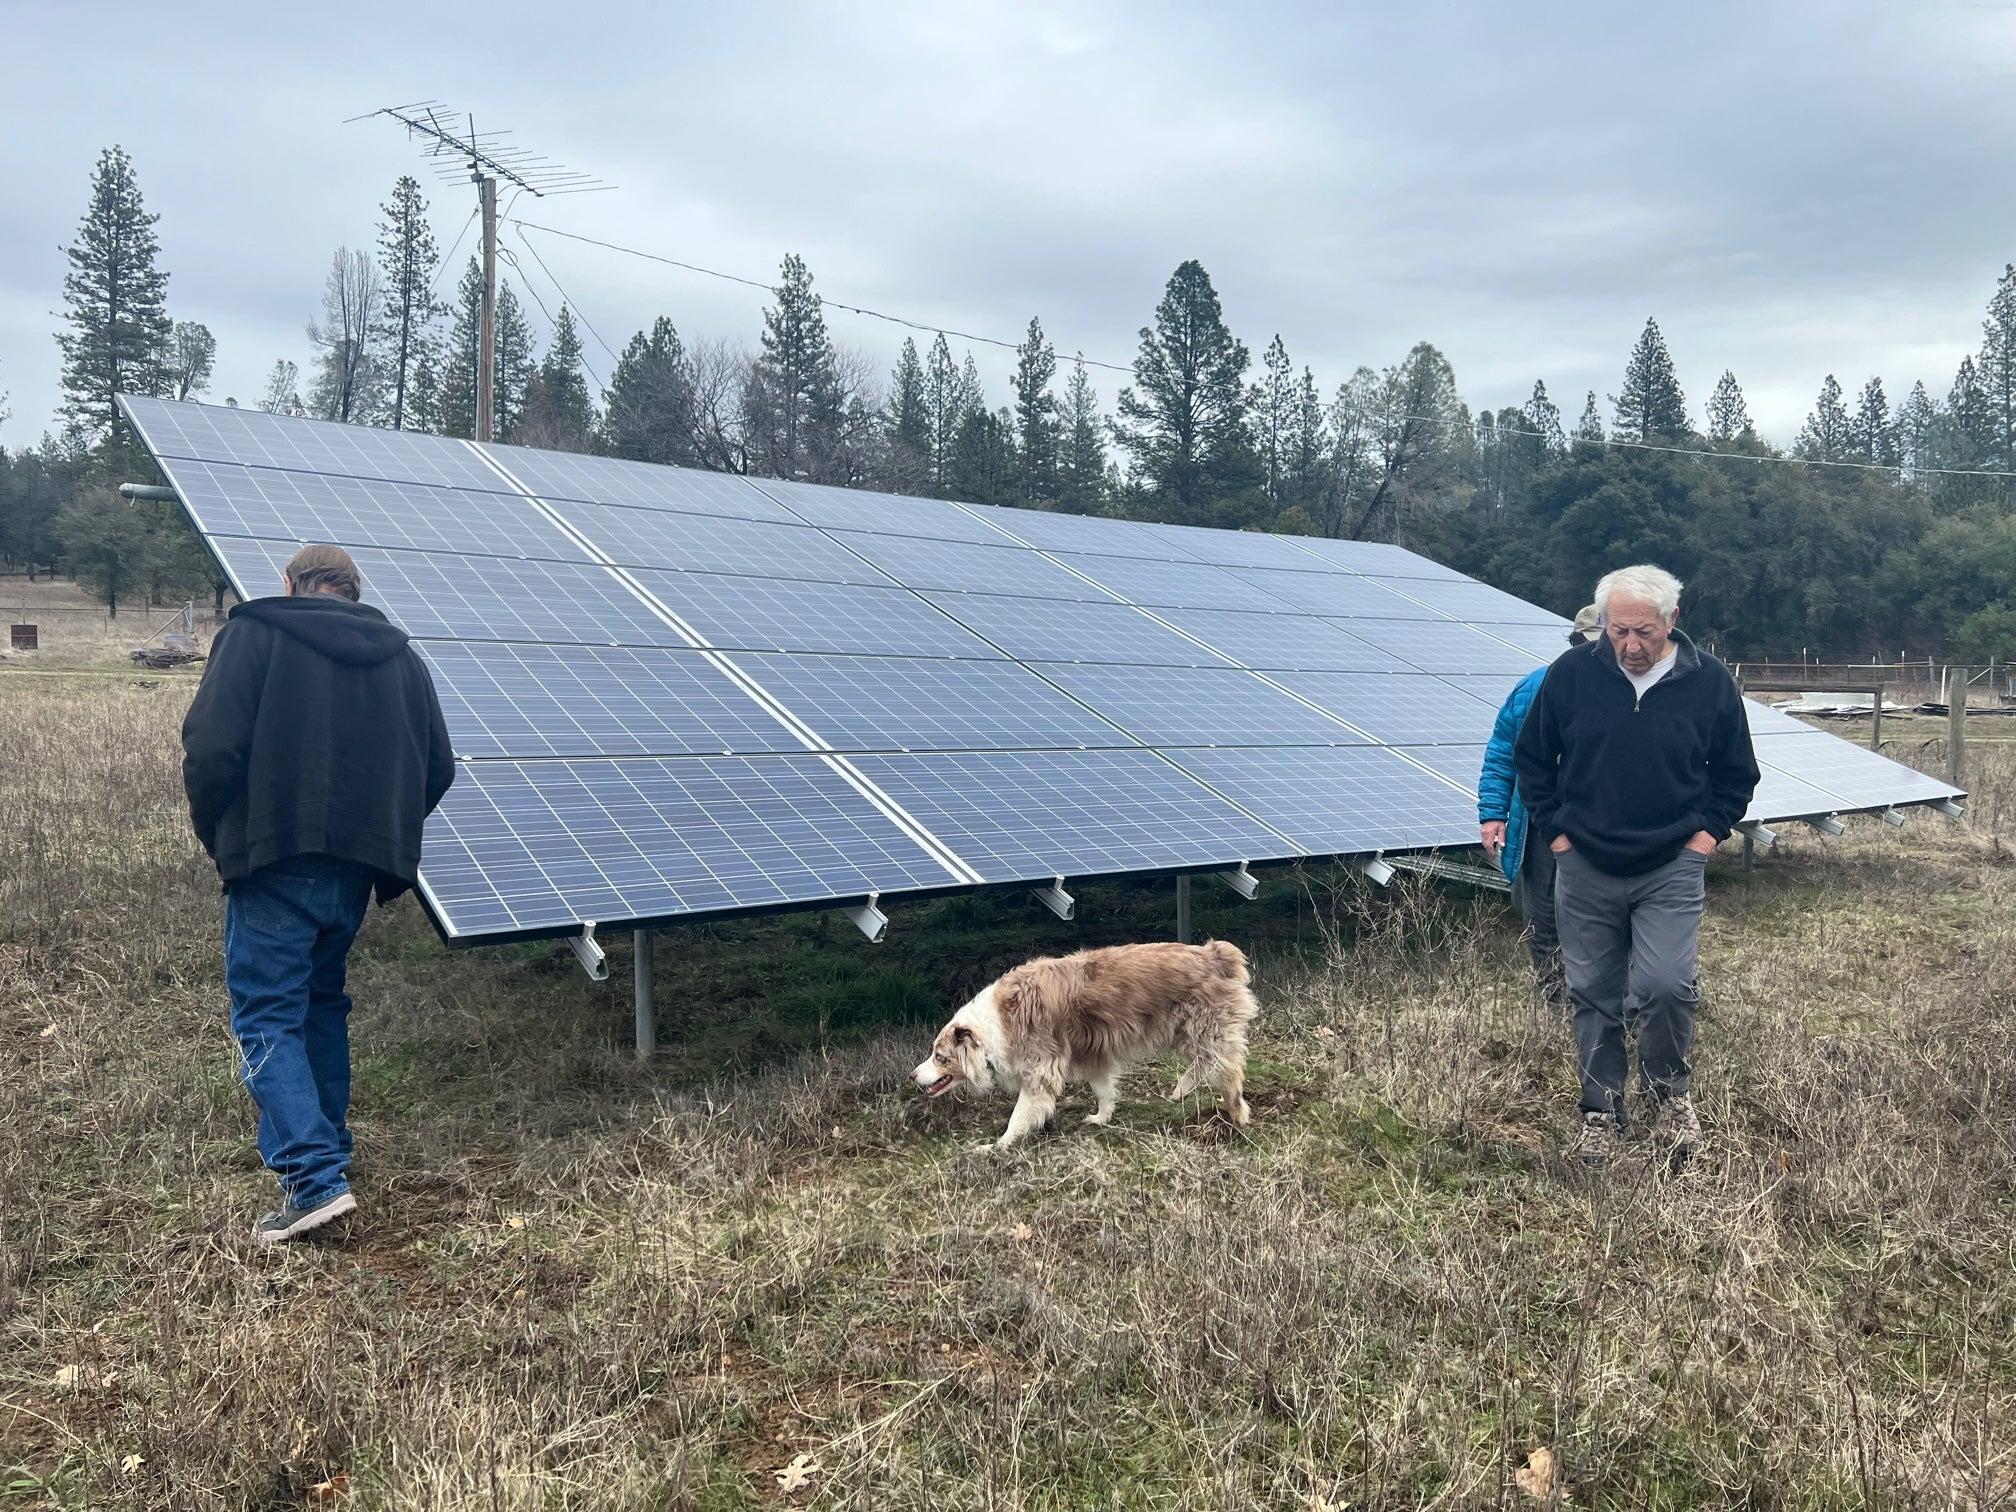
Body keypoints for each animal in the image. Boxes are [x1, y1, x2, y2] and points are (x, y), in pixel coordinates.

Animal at [919, 943, 1257, 1153]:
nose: (912, 1075)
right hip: (1184, 1032)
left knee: (1226, 1072)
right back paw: (1181, 1089)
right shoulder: (1094, 1055)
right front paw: (1101, 1119)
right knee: (1203, 1064)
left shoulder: (1041, 1069)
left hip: (1204, 1031)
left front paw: (997, 1146)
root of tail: (1216, 954)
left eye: (940, 1057)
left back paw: (1237, 1116)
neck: (992, 1027)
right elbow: (1103, 1091)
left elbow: (1019, 1116)